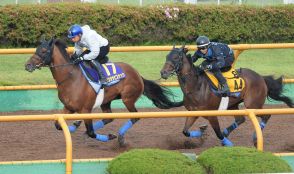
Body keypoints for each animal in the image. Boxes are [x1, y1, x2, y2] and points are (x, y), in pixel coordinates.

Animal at [25, 38, 183, 146]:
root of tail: (137, 74)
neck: (70, 77)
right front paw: (74, 125)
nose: (28, 65)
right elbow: (58, 125)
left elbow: (91, 132)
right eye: (36, 49)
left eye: (43, 51)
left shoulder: (85, 110)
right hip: (106, 100)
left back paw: (120, 137)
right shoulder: (68, 107)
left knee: (135, 117)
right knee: (108, 118)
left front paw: (107, 136)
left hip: (128, 99)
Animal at [161, 45, 294, 146]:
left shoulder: (212, 115)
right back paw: (228, 132)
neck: (196, 86)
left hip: (253, 105)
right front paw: (202, 132)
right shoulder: (193, 113)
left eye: (176, 57)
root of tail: (261, 77)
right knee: (241, 119)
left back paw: (256, 138)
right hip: (233, 105)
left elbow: (218, 133)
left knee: (266, 115)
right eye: (167, 56)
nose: (163, 73)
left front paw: (228, 143)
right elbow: (185, 131)